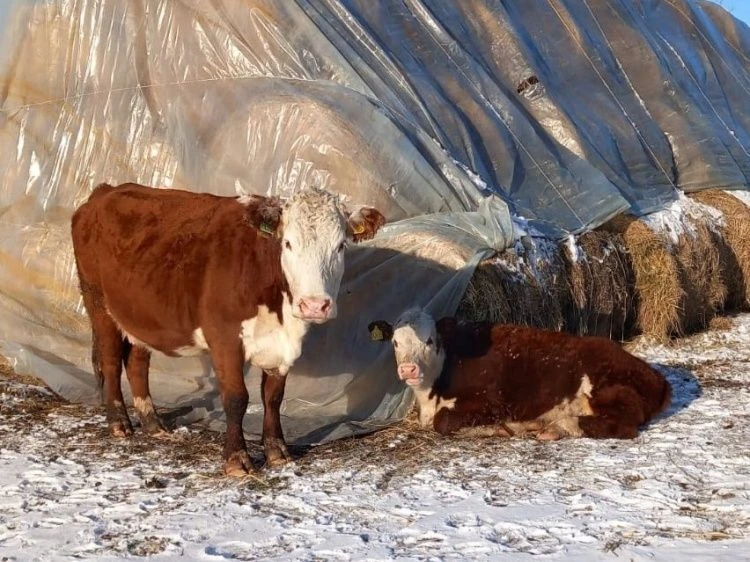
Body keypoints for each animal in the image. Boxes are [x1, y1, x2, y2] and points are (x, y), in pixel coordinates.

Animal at [73, 183, 388, 472]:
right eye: (288, 243)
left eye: (340, 245)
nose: (314, 305)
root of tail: (105, 191)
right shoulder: (224, 338)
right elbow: (237, 398)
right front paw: (237, 460)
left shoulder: (280, 347)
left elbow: (273, 397)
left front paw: (277, 452)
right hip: (98, 303)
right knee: (110, 361)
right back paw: (119, 423)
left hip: (141, 314)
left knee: (137, 361)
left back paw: (153, 423)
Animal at [368, 306, 672, 438]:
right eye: (395, 342)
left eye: (429, 340)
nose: (408, 369)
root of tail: (655, 375)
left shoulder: (493, 402)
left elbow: (443, 422)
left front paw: (494, 429)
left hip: (606, 388)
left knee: (623, 426)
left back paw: (561, 425)